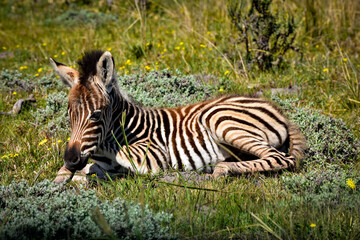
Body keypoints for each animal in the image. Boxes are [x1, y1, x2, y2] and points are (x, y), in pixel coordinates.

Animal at [49, 49, 306, 183]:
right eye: (69, 114)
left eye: (96, 115)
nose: (71, 159)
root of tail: (277, 109)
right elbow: (65, 174)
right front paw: (64, 178)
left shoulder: (153, 154)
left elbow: (123, 157)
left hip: (221, 121)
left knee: (280, 158)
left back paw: (222, 169)